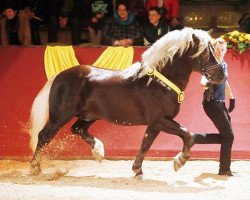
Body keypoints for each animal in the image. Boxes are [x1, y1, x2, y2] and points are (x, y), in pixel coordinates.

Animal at [28, 28, 226, 177]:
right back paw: (35, 168)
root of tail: (60, 76)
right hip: (59, 117)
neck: (159, 82)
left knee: (77, 129)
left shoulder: (156, 124)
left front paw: (137, 170)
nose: (221, 76)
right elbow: (188, 134)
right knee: (43, 136)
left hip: (90, 115)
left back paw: (99, 152)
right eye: (205, 52)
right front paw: (180, 161)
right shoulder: (161, 120)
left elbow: (146, 144)